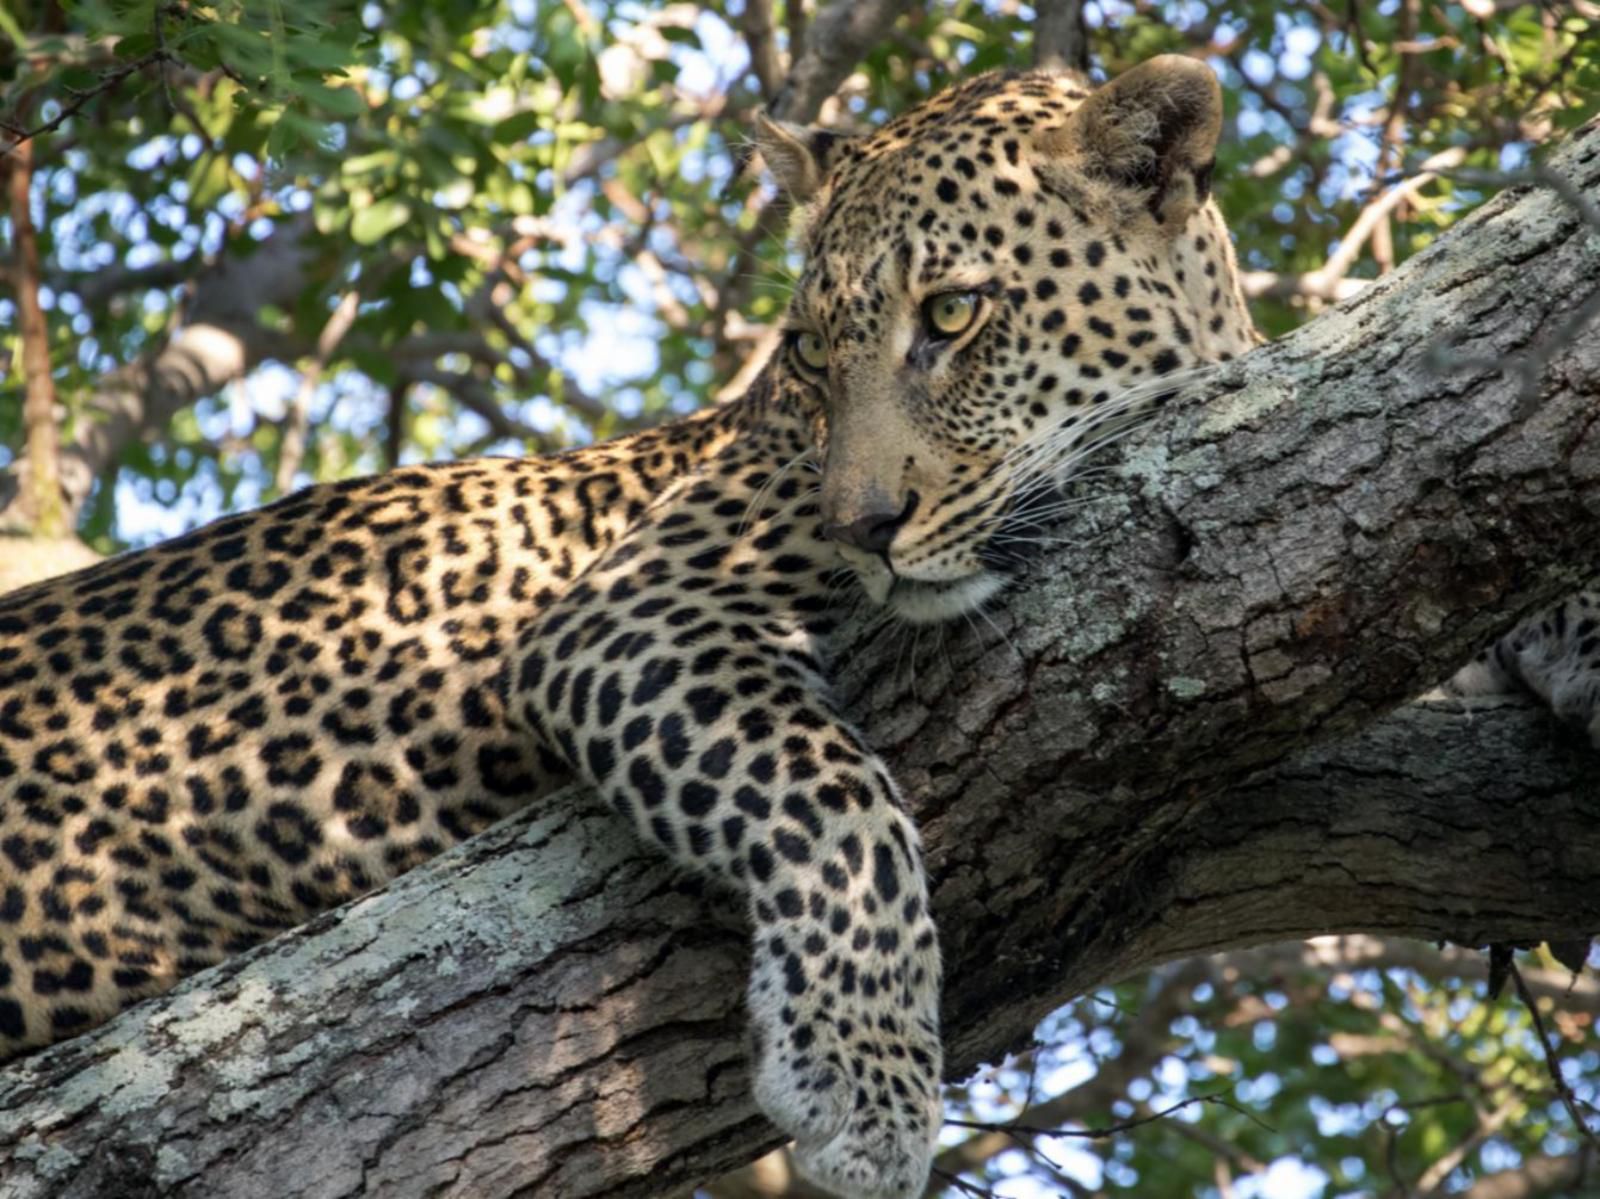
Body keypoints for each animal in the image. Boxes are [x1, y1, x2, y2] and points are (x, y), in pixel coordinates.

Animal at [3, 60, 1587, 1197]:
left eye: (952, 316)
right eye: (815, 353)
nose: (863, 525)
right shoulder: (630, 612)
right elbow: (832, 803)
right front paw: (866, 1077)